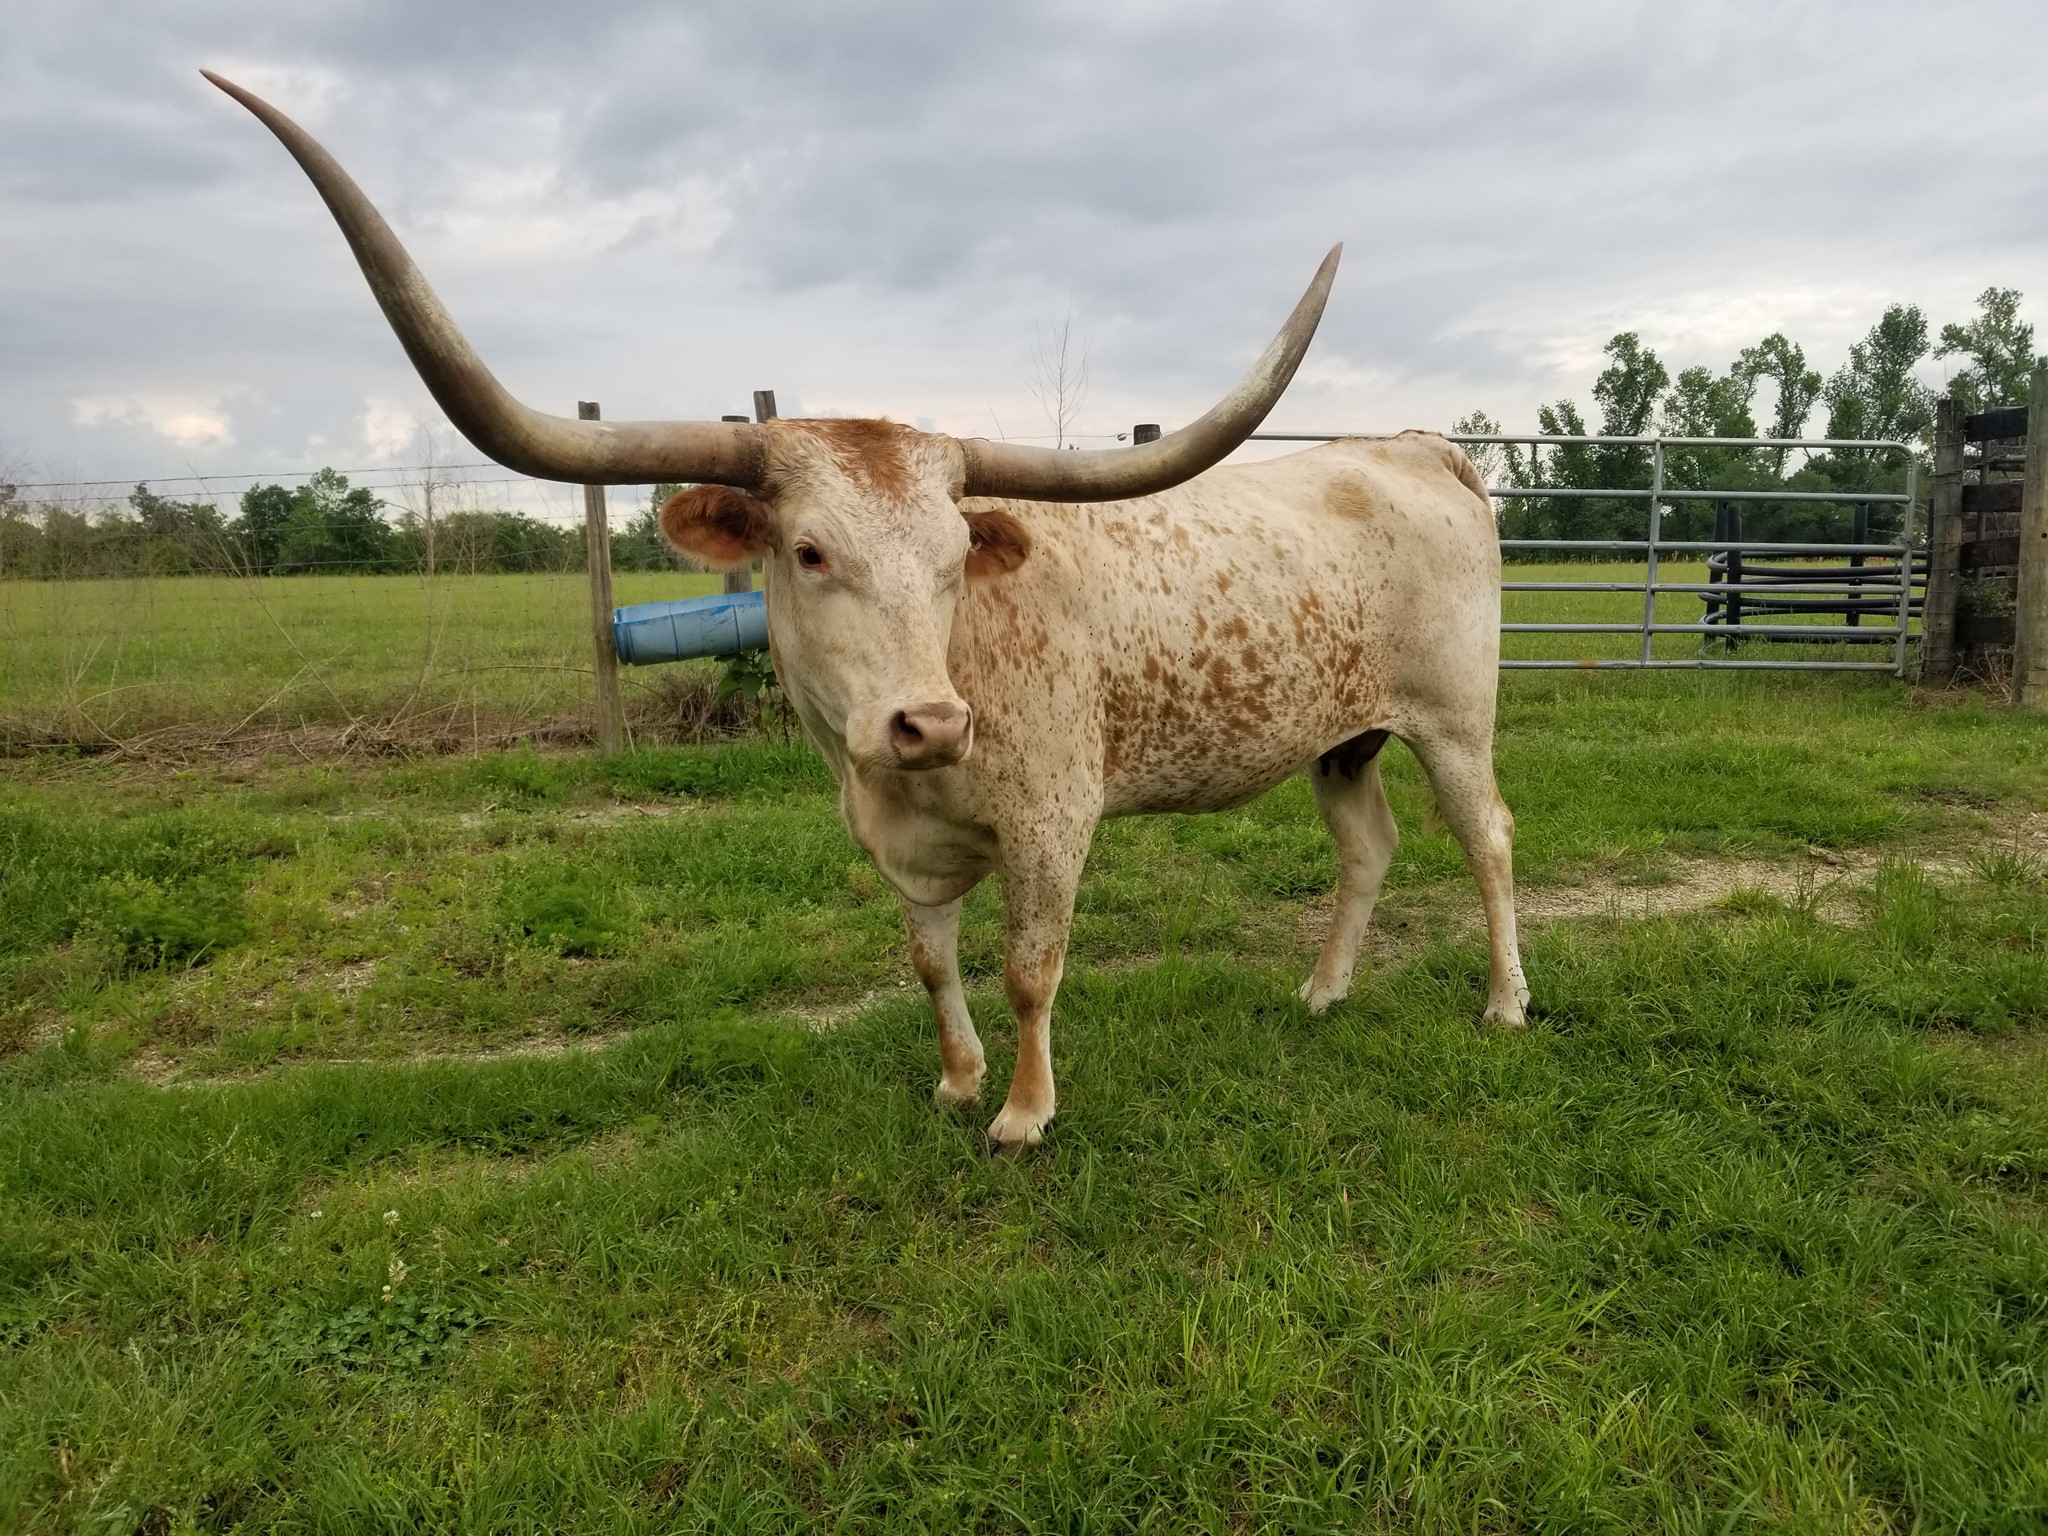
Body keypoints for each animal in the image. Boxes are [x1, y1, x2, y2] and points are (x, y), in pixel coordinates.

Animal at [208, 73, 1528, 1151]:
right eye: (806, 552)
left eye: (952, 560)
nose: (928, 726)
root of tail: (1415, 448)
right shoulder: (899, 846)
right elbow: (930, 967)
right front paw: (956, 1082)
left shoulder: (1052, 826)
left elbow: (1028, 970)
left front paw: (1022, 1114)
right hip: (1344, 738)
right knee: (1367, 847)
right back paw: (1322, 990)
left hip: (1454, 722)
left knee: (1488, 840)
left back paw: (1505, 1001)